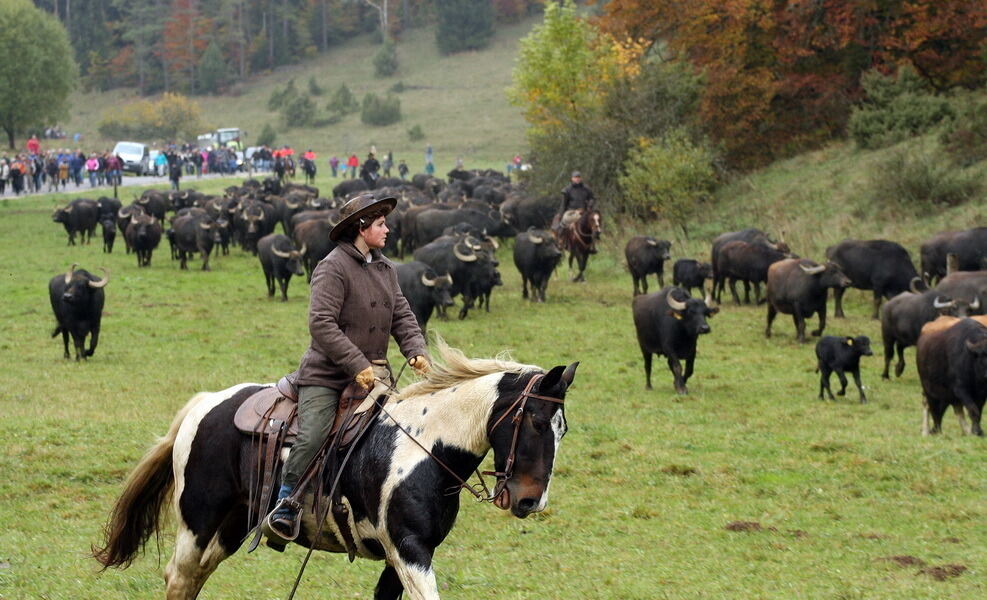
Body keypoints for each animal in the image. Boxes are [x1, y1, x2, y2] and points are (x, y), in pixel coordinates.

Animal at [92, 342, 580, 600]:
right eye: (537, 422)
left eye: (563, 428)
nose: (531, 500)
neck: (422, 447)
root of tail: (207, 402)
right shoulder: (409, 551)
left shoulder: (402, 555)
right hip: (198, 521)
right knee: (179, 578)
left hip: (231, 526)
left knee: (193, 579)